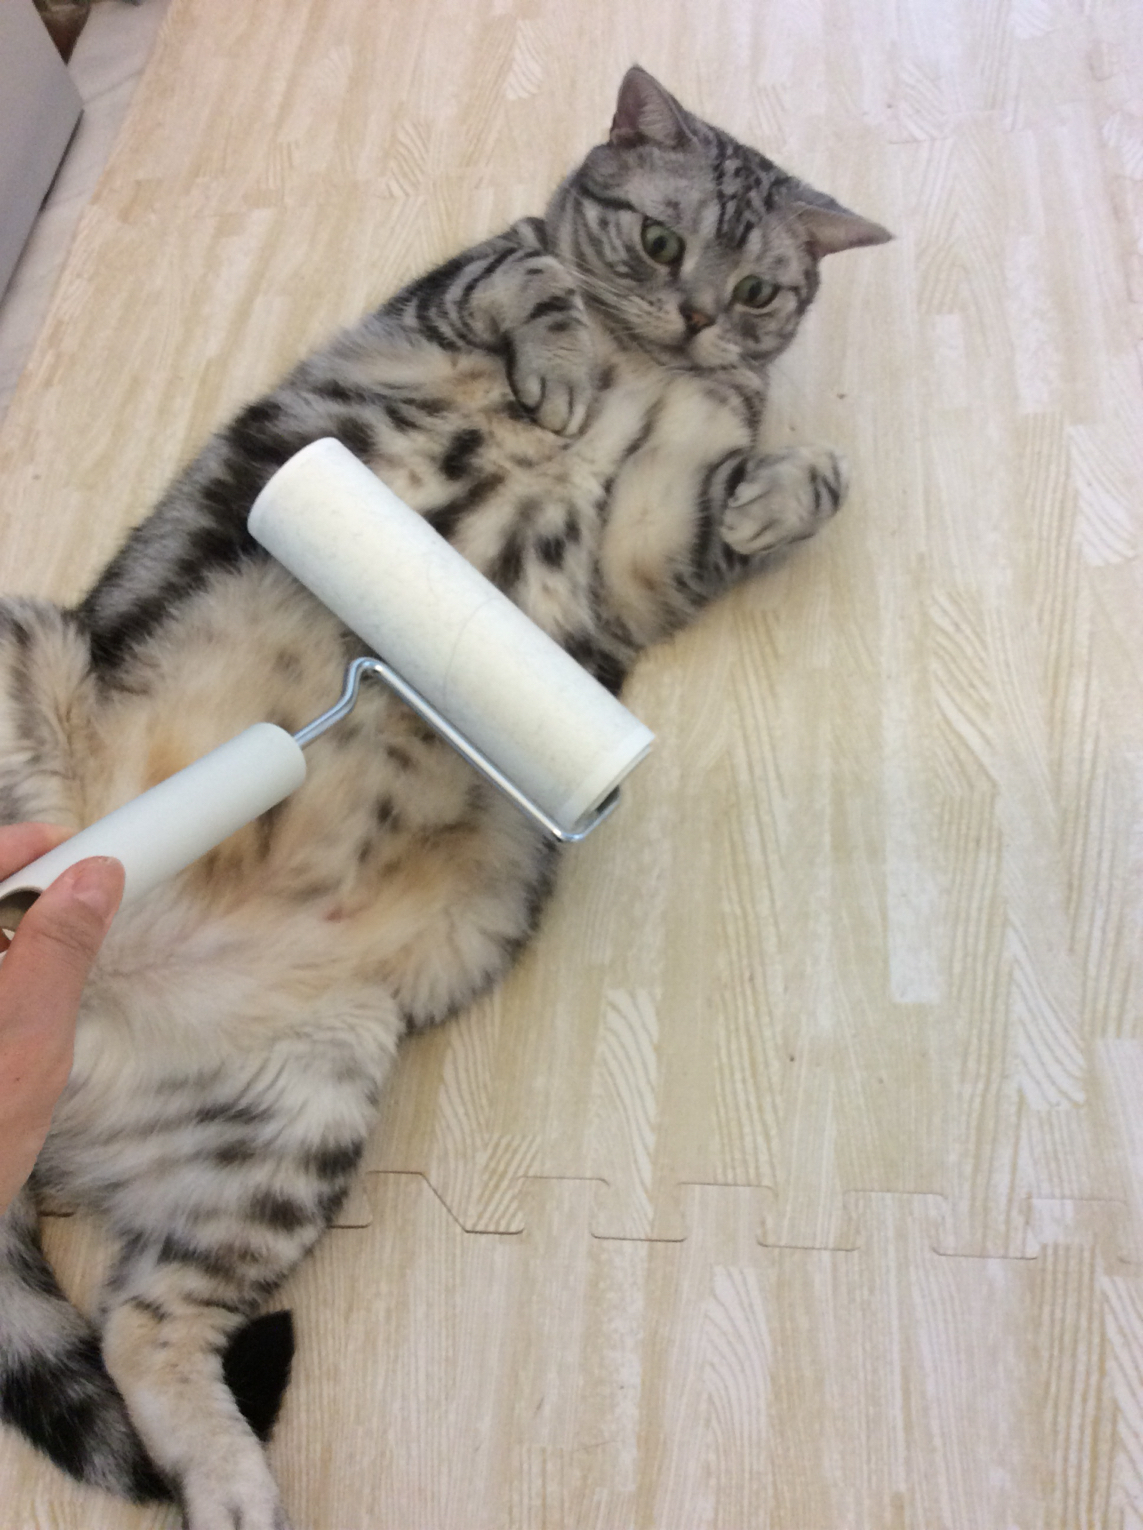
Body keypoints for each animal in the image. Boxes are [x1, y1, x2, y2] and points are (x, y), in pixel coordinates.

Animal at [0, 66, 889, 1530]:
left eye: (758, 288)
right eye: (661, 244)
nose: (701, 316)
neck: (654, 369)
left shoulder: (644, 552)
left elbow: (761, 487)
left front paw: (788, 481)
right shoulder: (449, 296)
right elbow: (534, 277)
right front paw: (567, 363)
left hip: (294, 1119)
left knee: (146, 1321)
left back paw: (230, 1481)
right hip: (26, 657)